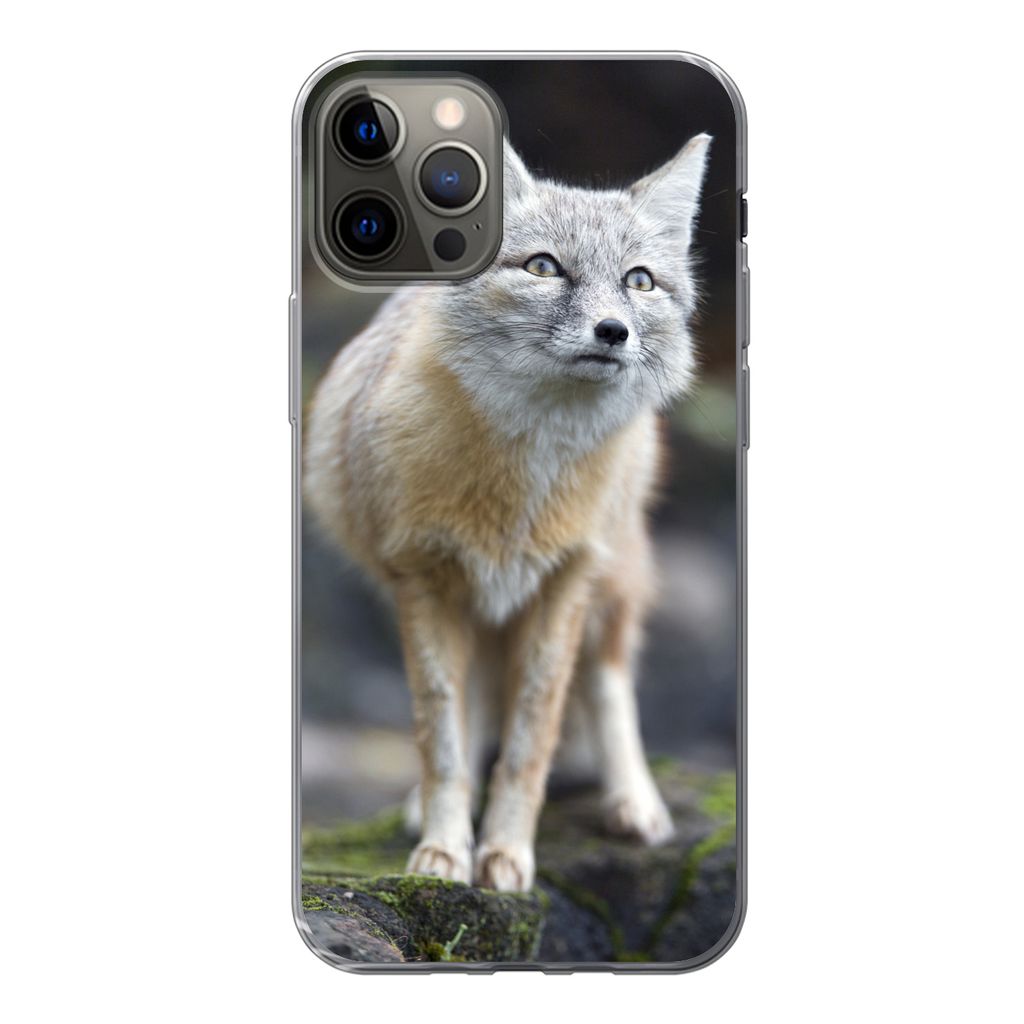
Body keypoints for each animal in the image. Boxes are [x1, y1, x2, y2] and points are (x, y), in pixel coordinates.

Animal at [304, 133, 712, 893]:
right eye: (544, 267)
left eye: (639, 281)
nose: (612, 331)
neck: (521, 490)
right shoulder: (423, 580)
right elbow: (441, 734)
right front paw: (444, 849)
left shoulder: (564, 584)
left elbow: (533, 737)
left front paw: (507, 852)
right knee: (475, 704)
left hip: (608, 585)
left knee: (608, 681)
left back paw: (634, 801)